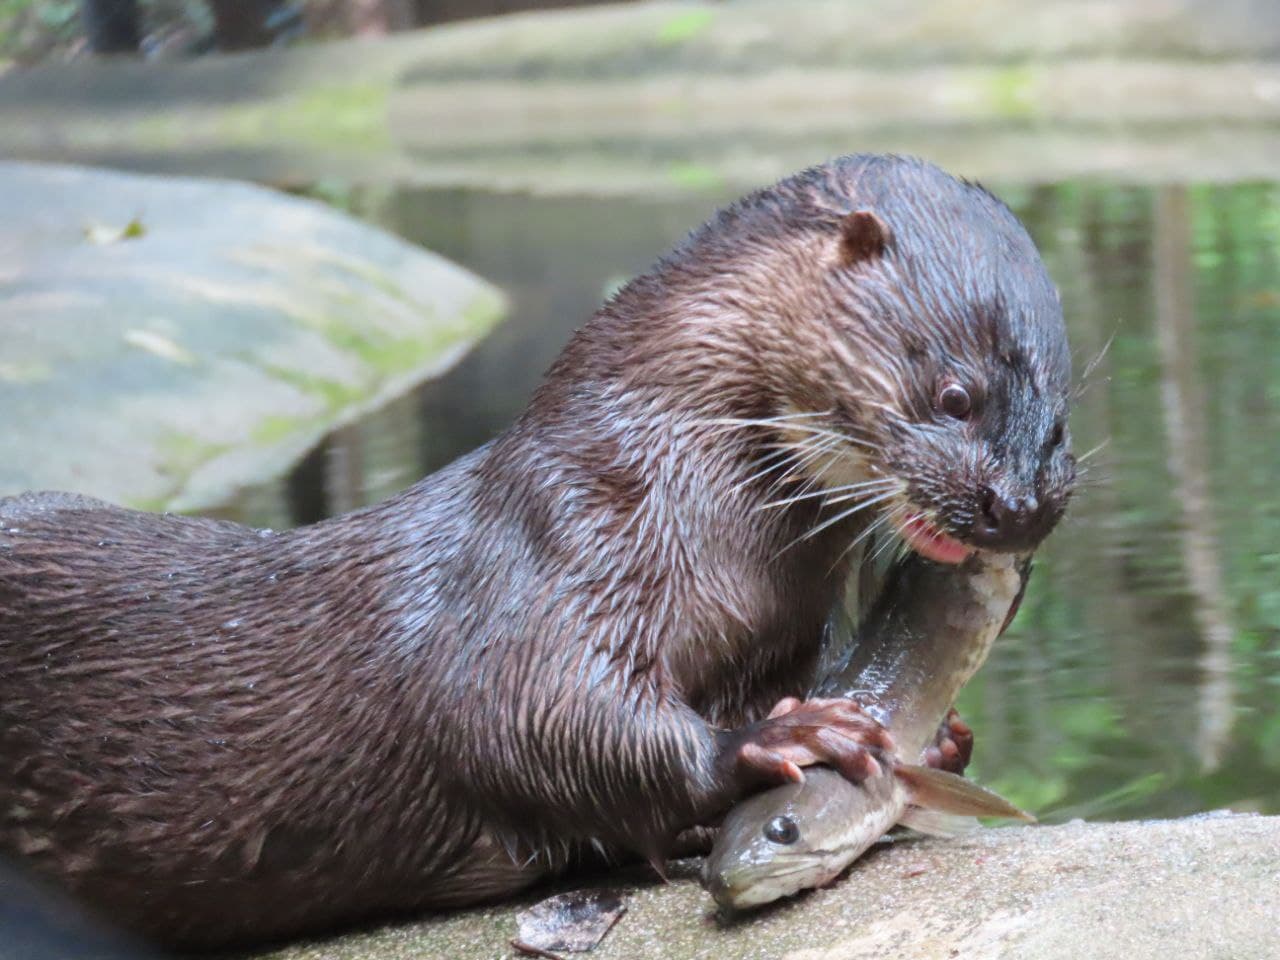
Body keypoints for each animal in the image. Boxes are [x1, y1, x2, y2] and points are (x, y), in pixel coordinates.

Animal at [0, 156, 1075, 947]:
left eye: (1063, 416)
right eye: (955, 394)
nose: (1021, 506)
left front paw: (934, 736)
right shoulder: (561, 537)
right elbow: (523, 711)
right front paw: (783, 738)